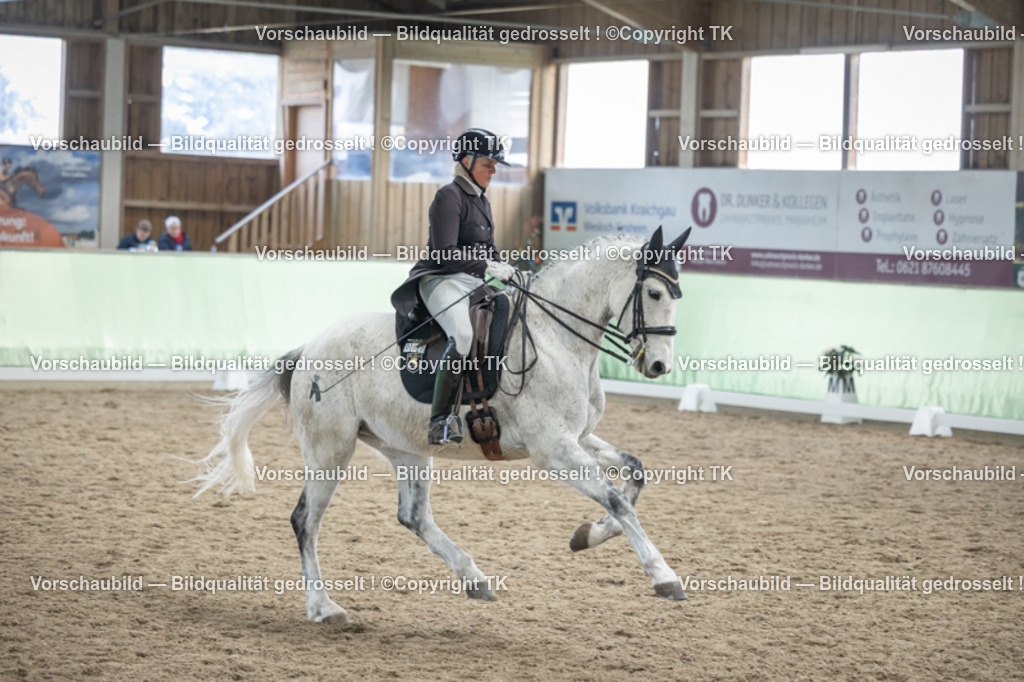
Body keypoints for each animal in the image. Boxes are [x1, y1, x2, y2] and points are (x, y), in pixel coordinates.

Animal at [194, 227, 692, 625]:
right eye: (654, 294)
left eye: (677, 296)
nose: (660, 366)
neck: (556, 339)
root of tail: (308, 348)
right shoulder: (553, 449)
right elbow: (617, 498)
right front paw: (664, 576)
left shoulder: (579, 437)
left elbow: (635, 473)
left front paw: (587, 535)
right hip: (329, 449)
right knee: (305, 521)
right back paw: (323, 607)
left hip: (406, 447)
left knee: (413, 516)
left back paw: (474, 579)